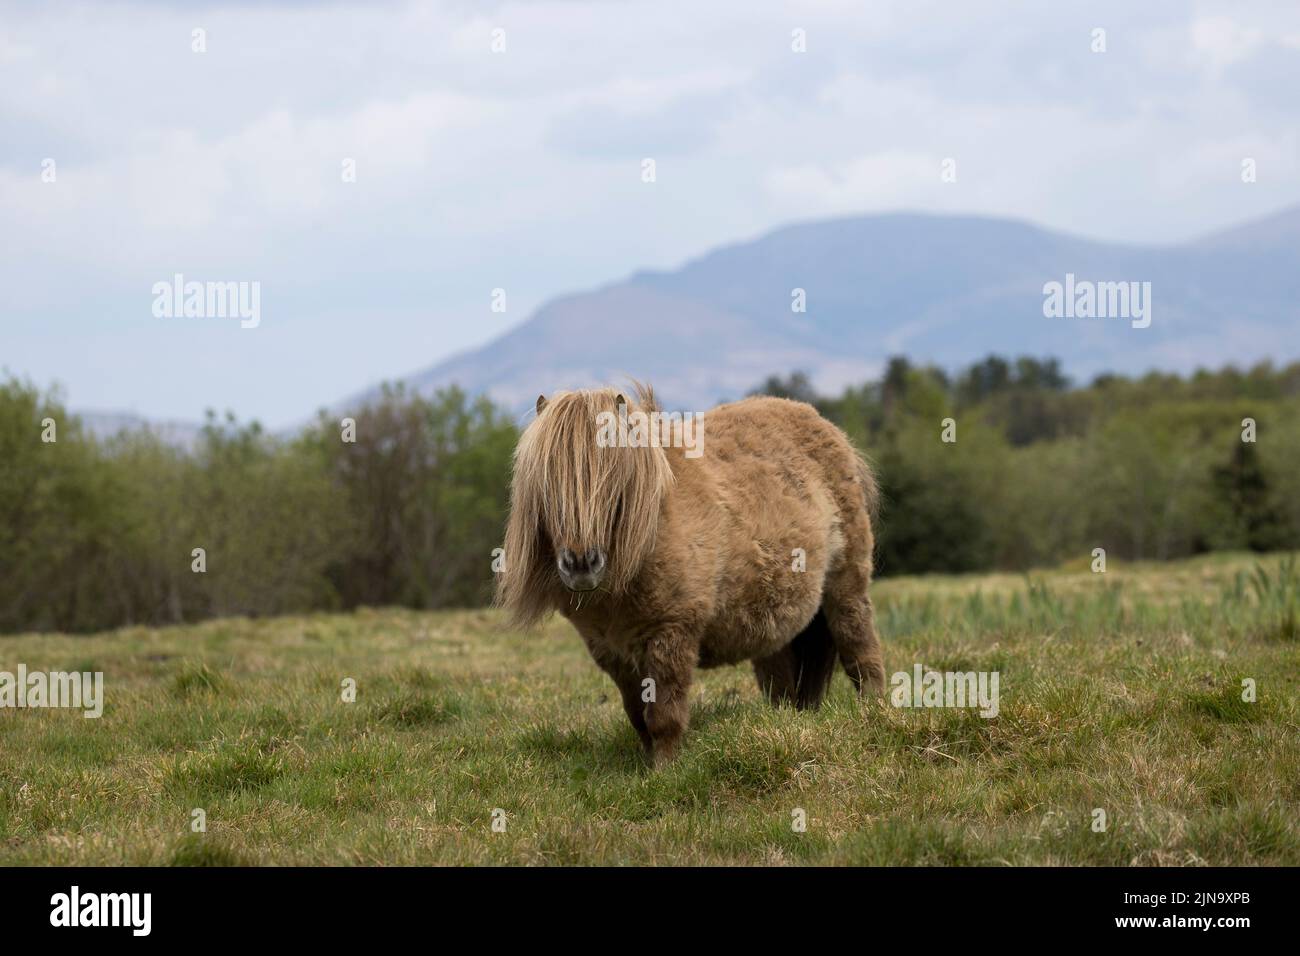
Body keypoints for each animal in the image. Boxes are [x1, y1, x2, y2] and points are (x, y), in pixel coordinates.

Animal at [496, 384, 884, 765]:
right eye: (546, 485)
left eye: (613, 481)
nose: (581, 564)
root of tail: (826, 426)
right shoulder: (611, 652)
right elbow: (637, 715)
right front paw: (648, 765)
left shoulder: (673, 633)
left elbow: (663, 715)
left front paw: (666, 770)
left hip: (846, 589)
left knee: (860, 651)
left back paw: (874, 712)